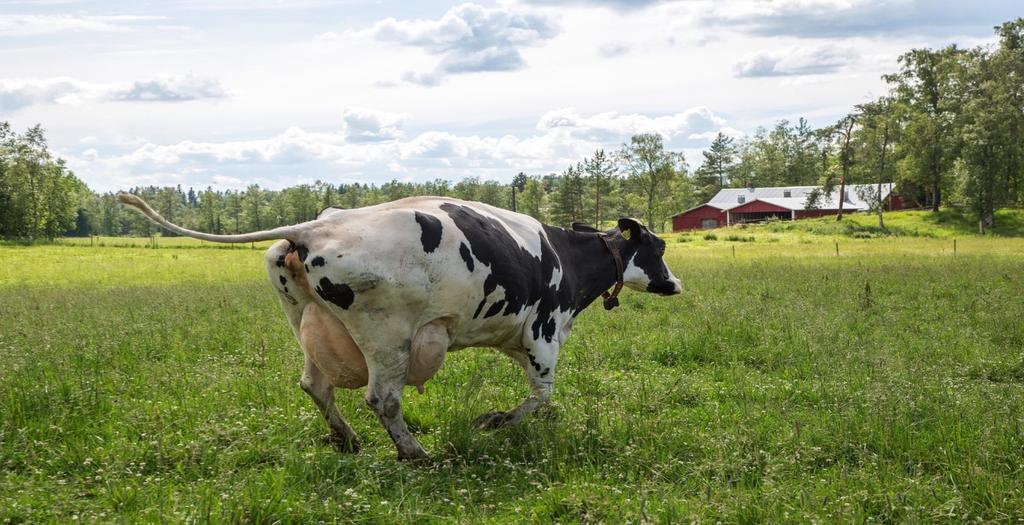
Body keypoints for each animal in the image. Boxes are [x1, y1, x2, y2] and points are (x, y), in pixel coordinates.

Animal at [117, 192, 679, 458]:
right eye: (658, 247)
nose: (674, 284)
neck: (566, 255)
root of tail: (315, 226)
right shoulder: (543, 330)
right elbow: (541, 393)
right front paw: (496, 421)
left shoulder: (515, 335)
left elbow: (542, 398)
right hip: (387, 337)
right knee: (382, 399)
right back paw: (415, 453)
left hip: (305, 322)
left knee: (314, 385)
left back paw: (346, 439)